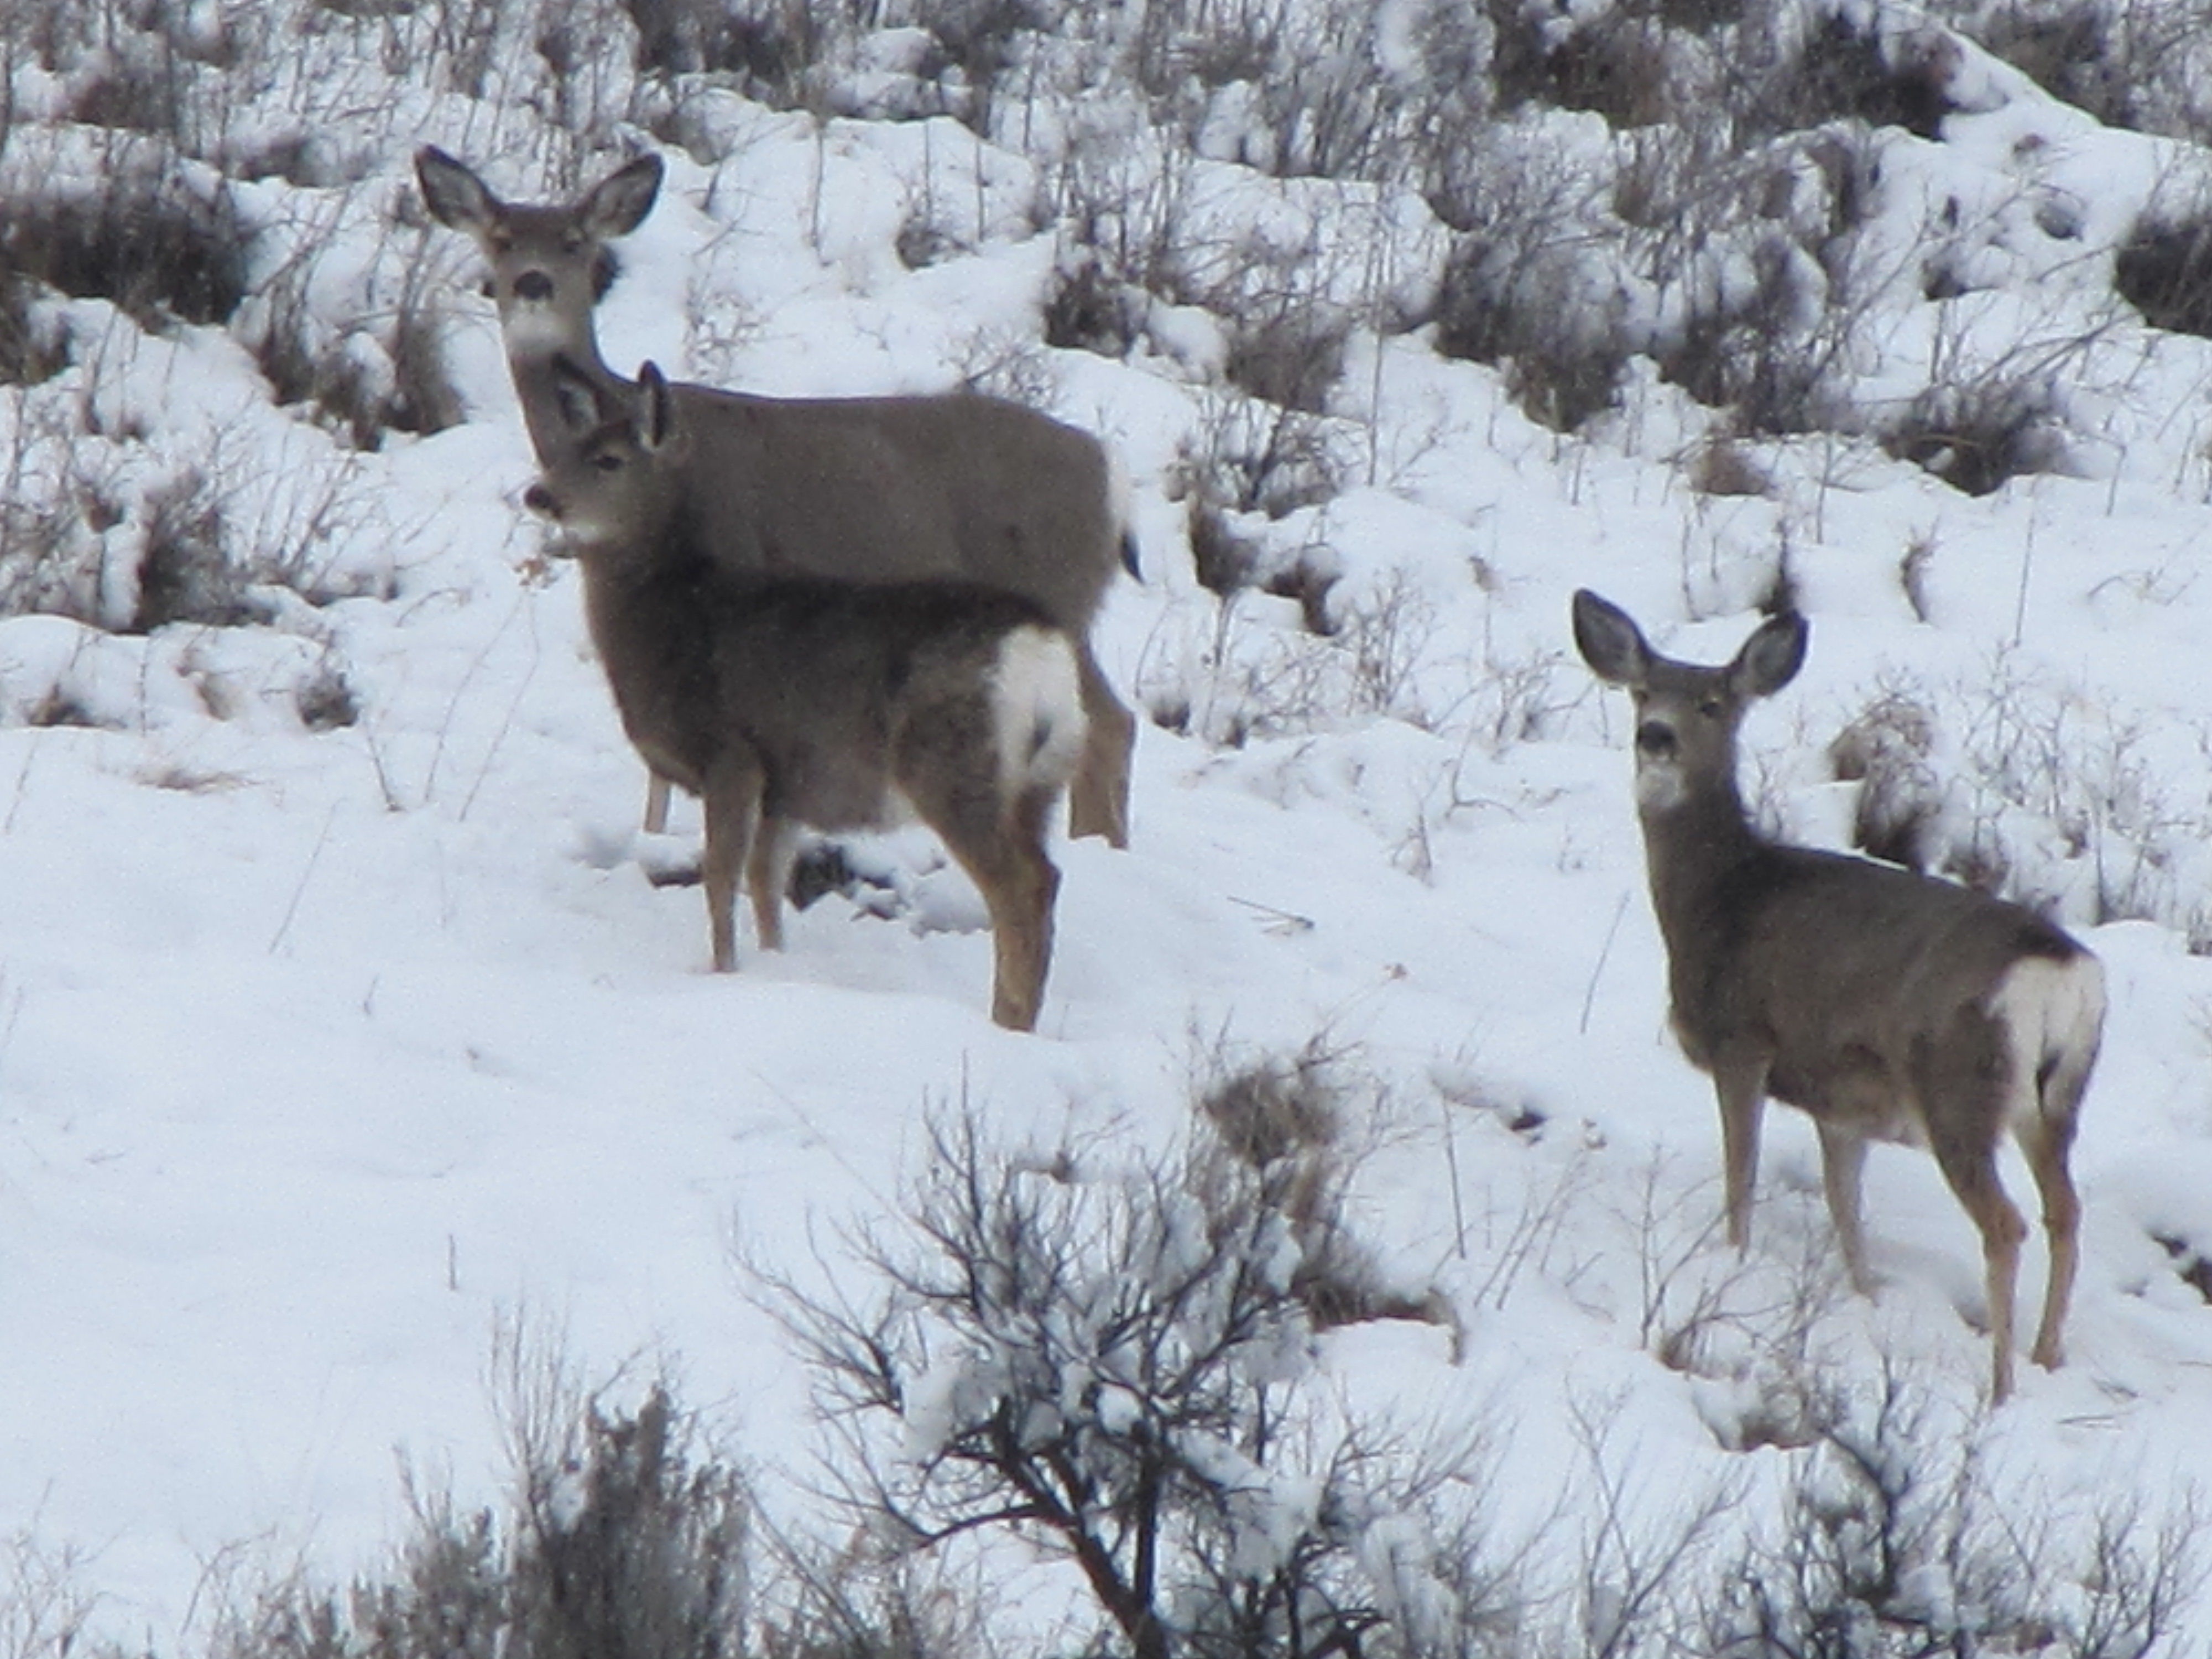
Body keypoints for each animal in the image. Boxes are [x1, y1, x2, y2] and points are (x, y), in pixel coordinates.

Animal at [418, 143, 1141, 845]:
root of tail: (1111, 474)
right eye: (502, 239)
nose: (532, 284)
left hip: (1057, 587)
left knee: (1108, 722)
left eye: (573, 241)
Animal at [535, 361, 1088, 1040]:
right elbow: (765, 880)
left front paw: (723, 971)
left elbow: (721, 875)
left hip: (954, 765)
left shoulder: (731, 753)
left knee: (1018, 888)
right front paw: (776, 964)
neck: (675, 617)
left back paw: (1004, 1021)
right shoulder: (786, 785)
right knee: (1047, 878)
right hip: (1042, 780)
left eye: (609, 460)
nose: (538, 496)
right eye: (561, 452)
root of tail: (1040, 648)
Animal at [1575, 588, 2106, 1407]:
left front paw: (1733, 1260)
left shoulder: (1743, 1041)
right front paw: (1866, 1300)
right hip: (2055, 1099)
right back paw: (2047, 1357)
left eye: (1712, 702)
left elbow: (1741, 1176)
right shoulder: (1842, 1103)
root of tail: (2059, 969)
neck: (1720, 898)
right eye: (1641, 691)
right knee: (2065, 1214)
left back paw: (2001, 1387)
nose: (1655, 736)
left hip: (1959, 1087)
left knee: (2006, 1225)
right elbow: (1844, 1210)